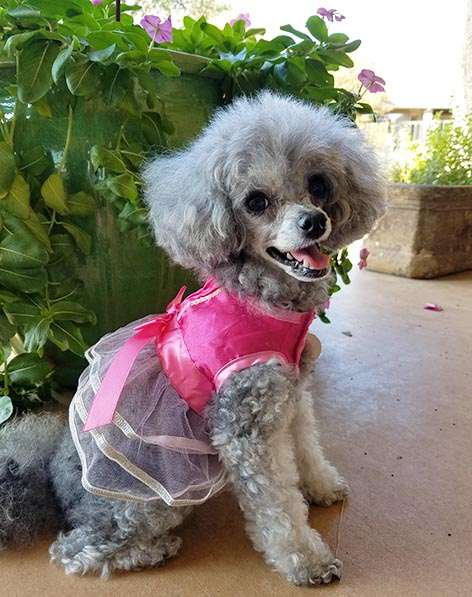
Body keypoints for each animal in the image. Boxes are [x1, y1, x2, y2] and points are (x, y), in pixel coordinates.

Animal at [0, 91, 384, 584]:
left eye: (318, 185)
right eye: (256, 201)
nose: (314, 222)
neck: (260, 301)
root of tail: (48, 475)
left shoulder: (291, 391)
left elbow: (306, 446)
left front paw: (321, 485)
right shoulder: (246, 427)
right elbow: (277, 504)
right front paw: (307, 559)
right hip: (146, 502)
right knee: (76, 550)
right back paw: (154, 550)